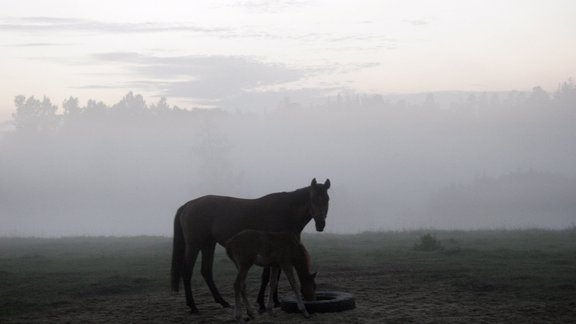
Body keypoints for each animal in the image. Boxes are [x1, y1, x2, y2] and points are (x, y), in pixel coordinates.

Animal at [171, 178, 330, 312]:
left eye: (327, 199)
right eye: (313, 199)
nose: (320, 224)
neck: (286, 211)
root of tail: (188, 205)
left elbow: (276, 277)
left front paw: (276, 302)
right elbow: (266, 277)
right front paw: (262, 304)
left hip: (208, 244)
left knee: (206, 271)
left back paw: (222, 302)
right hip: (194, 244)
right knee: (187, 271)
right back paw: (193, 306)